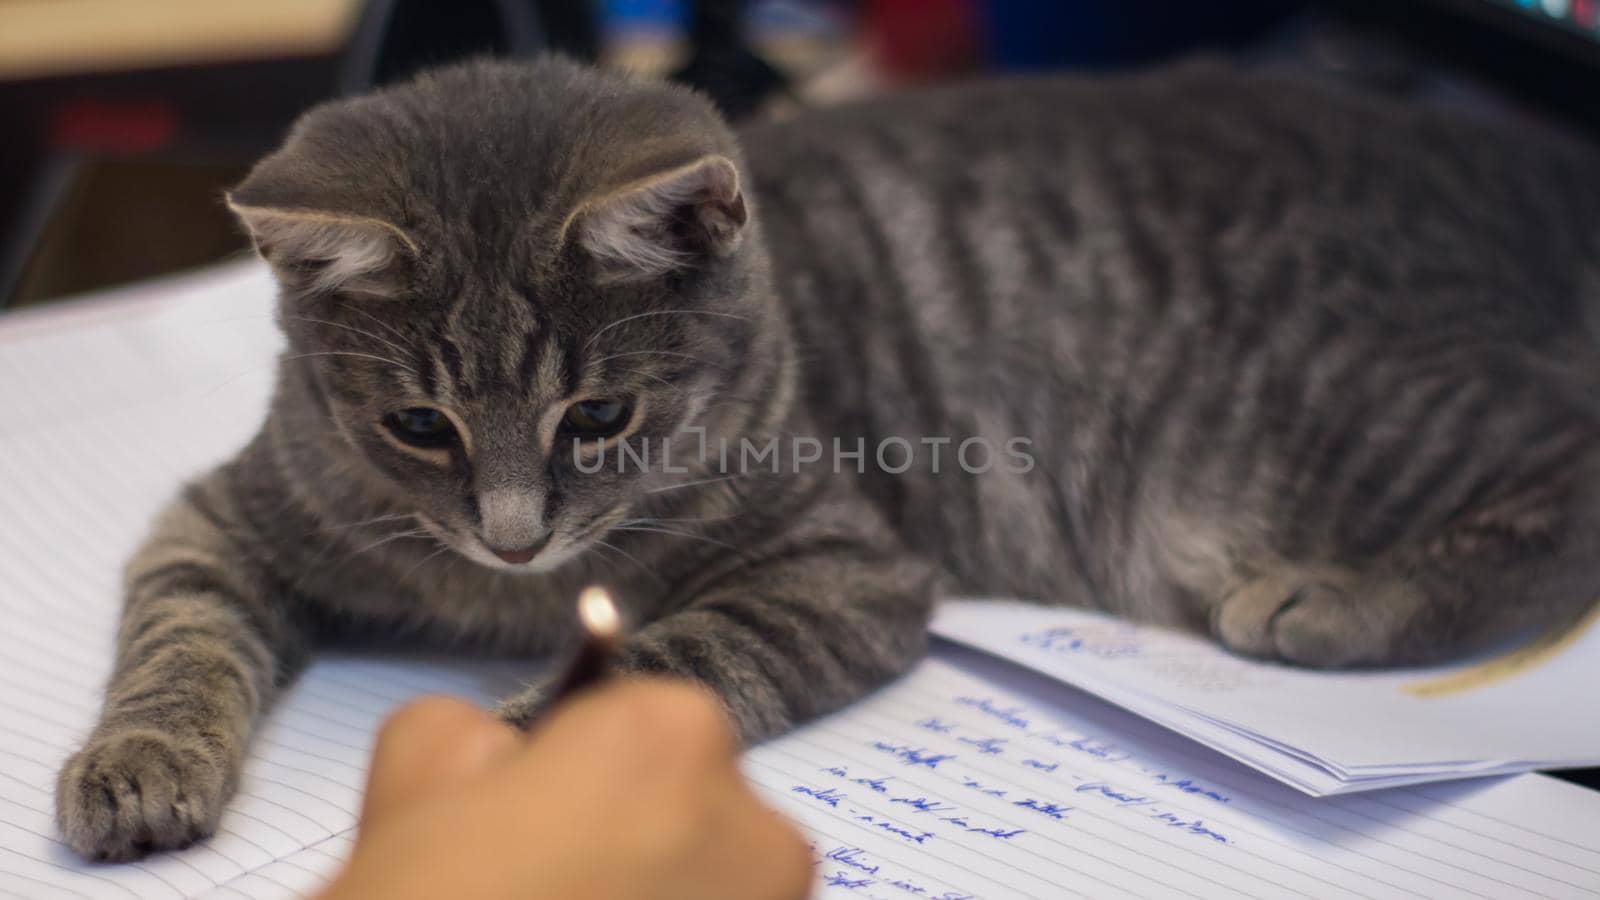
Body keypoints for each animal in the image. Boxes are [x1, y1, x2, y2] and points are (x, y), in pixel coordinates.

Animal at [56, 54, 1593, 851]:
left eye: (597, 419)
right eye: (417, 427)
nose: (511, 535)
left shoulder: (847, 568)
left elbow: (678, 654)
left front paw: (523, 763)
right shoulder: (229, 512)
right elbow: (178, 632)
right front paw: (139, 760)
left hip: (1343, 404)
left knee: (1569, 471)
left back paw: (1324, 600)